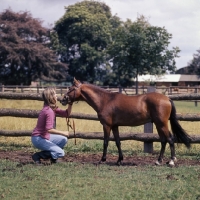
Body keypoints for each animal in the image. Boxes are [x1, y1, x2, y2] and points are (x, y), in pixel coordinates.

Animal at [60, 79, 191, 166]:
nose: (63, 99)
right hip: (158, 124)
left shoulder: (106, 126)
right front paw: (119, 160)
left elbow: (106, 142)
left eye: (71, 88)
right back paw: (158, 161)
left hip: (162, 124)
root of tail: (167, 98)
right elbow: (118, 142)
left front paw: (102, 159)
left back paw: (172, 161)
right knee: (163, 140)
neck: (105, 100)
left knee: (170, 139)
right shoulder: (115, 126)